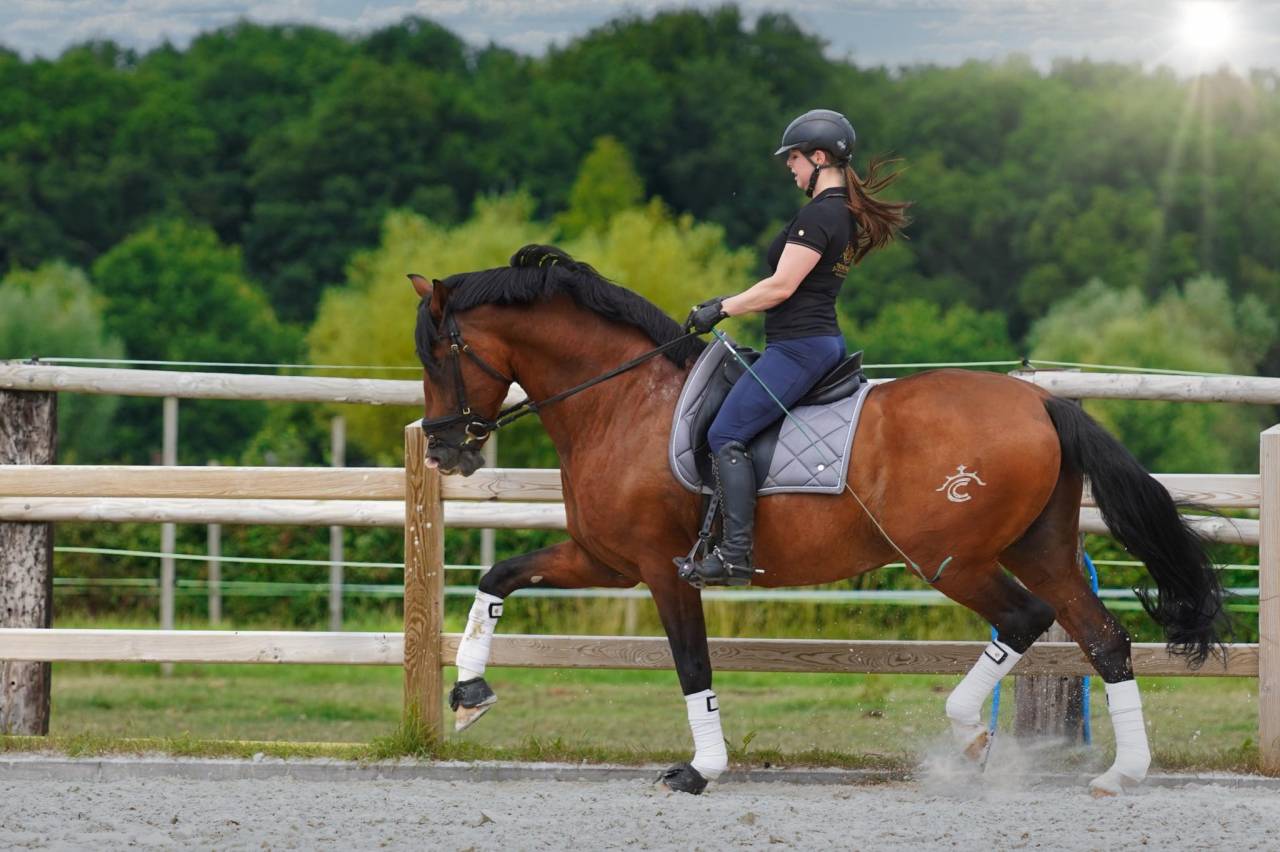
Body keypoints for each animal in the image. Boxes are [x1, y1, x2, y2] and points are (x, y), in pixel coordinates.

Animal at [409, 245, 1225, 797]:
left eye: (441, 352)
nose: (444, 447)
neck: (622, 402)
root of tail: (1043, 402)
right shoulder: (604, 560)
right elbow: (498, 577)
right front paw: (470, 697)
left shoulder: (663, 570)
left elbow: (692, 664)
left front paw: (700, 769)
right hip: (1040, 546)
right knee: (1104, 638)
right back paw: (1122, 773)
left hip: (950, 558)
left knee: (1026, 618)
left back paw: (969, 738)